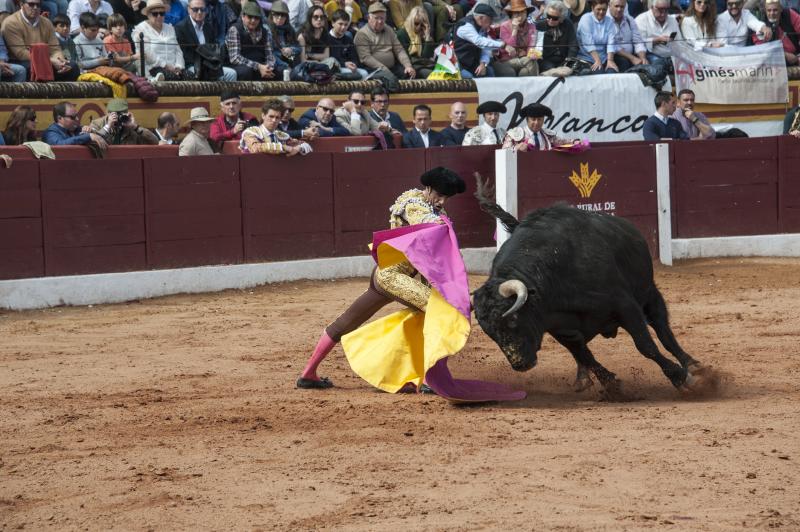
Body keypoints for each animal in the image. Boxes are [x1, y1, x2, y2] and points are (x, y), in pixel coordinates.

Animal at [472, 179, 708, 394]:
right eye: (489, 332)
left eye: (513, 318)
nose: (520, 364)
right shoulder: (561, 328)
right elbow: (584, 354)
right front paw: (612, 385)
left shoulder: (625, 306)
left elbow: (646, 345)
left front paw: (682, 378)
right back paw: (582, 379)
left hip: (649, 293)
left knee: (662, 329)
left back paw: (694, 366)